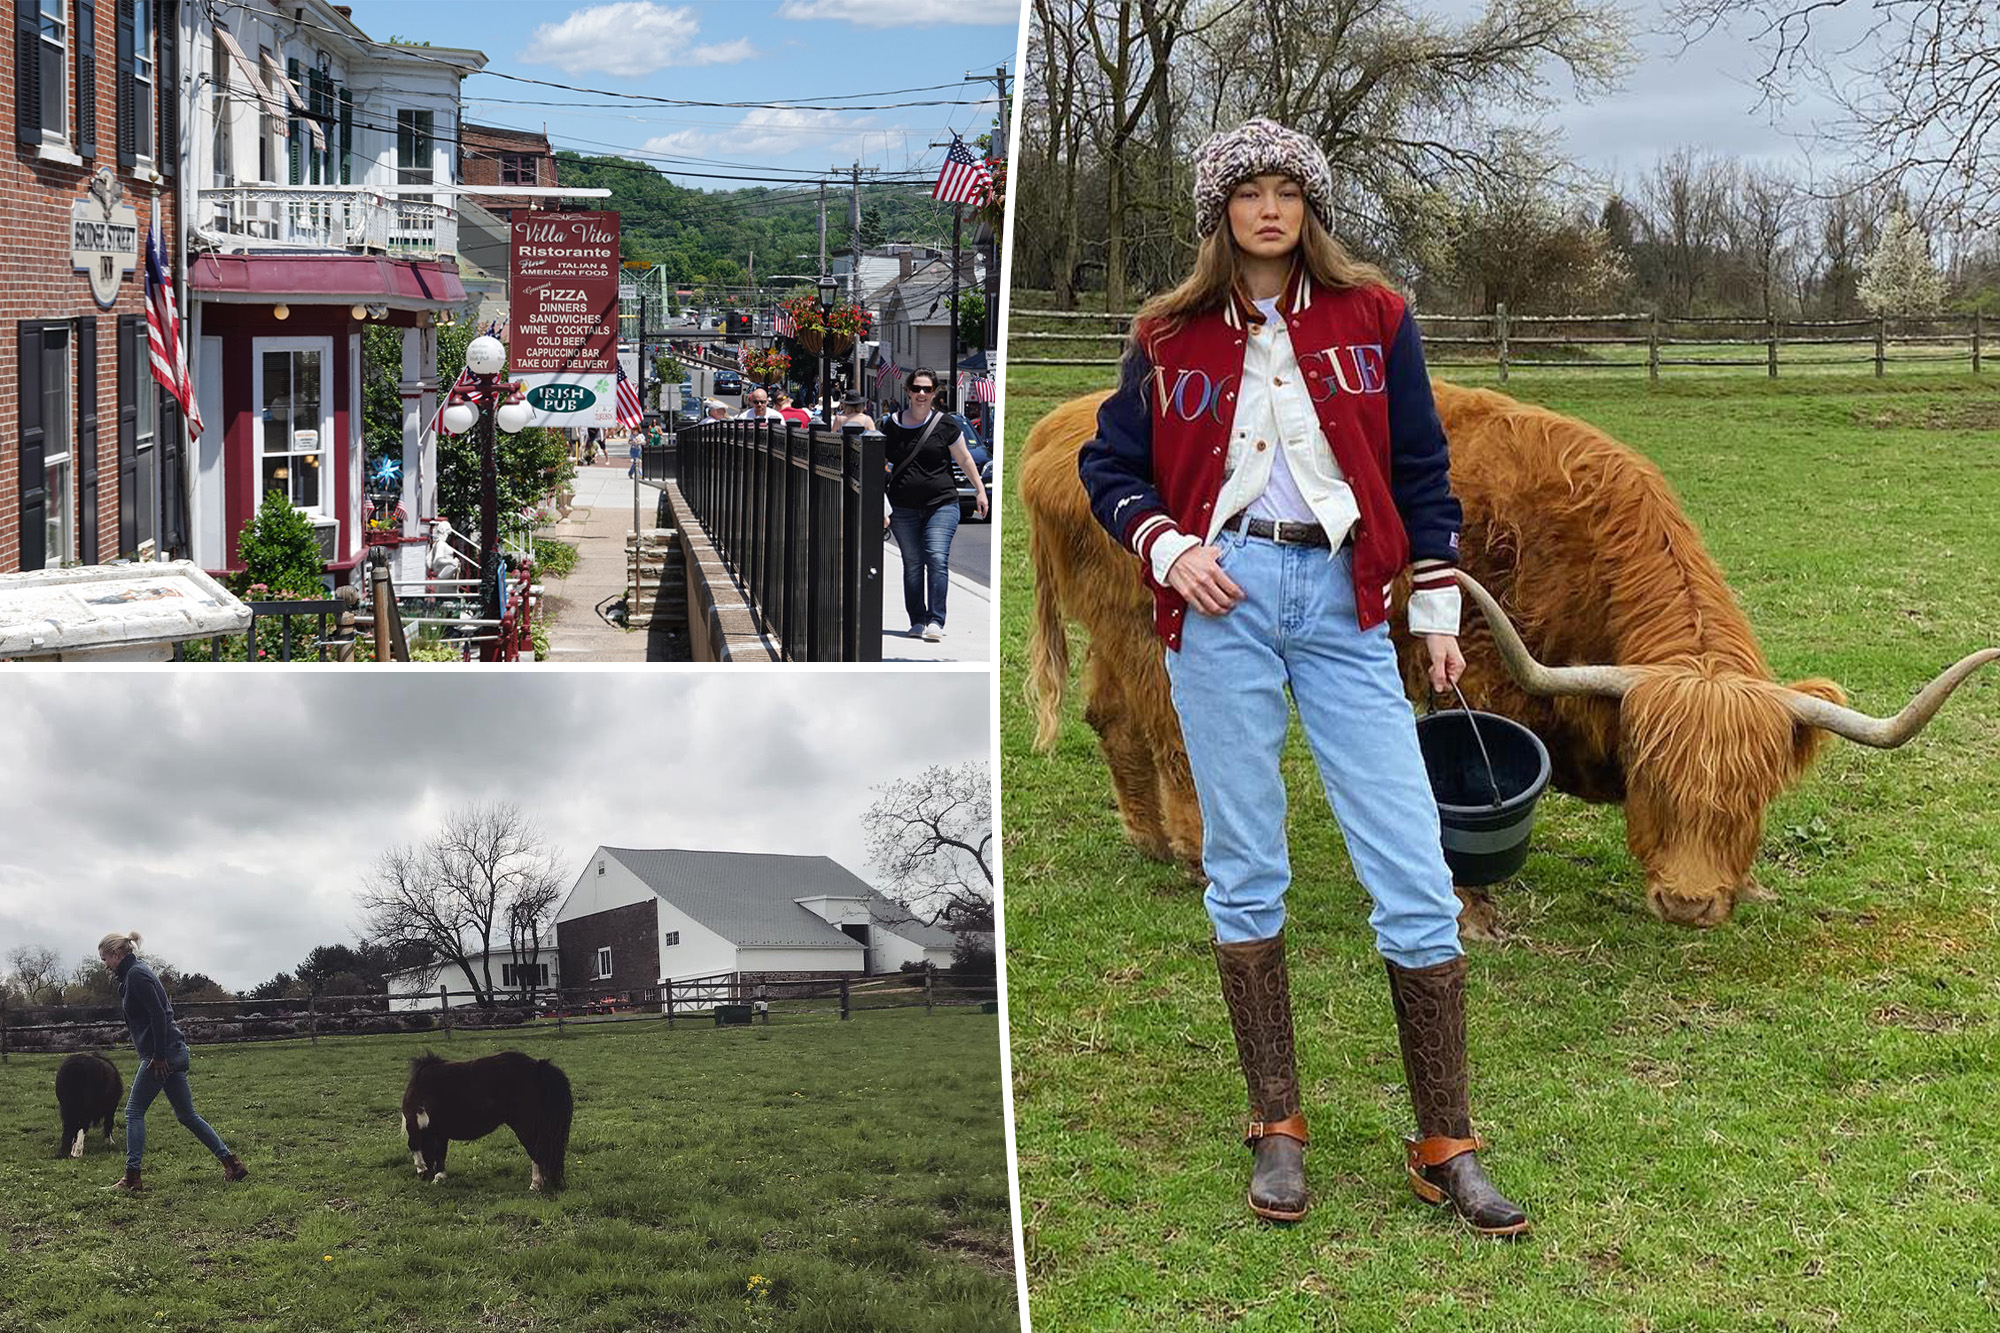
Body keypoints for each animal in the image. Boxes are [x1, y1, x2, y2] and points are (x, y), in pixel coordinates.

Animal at [398, 1056, 572, 1184]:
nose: (424, 1177)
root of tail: (537, 1067)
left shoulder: (418, 1124)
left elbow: (414, 1145)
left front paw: (425, 1171)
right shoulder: (440, 1131)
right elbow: (440, 1152)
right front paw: (439, 1176)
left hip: (525, 1126)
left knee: (537, 1152)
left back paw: (536, 1184)